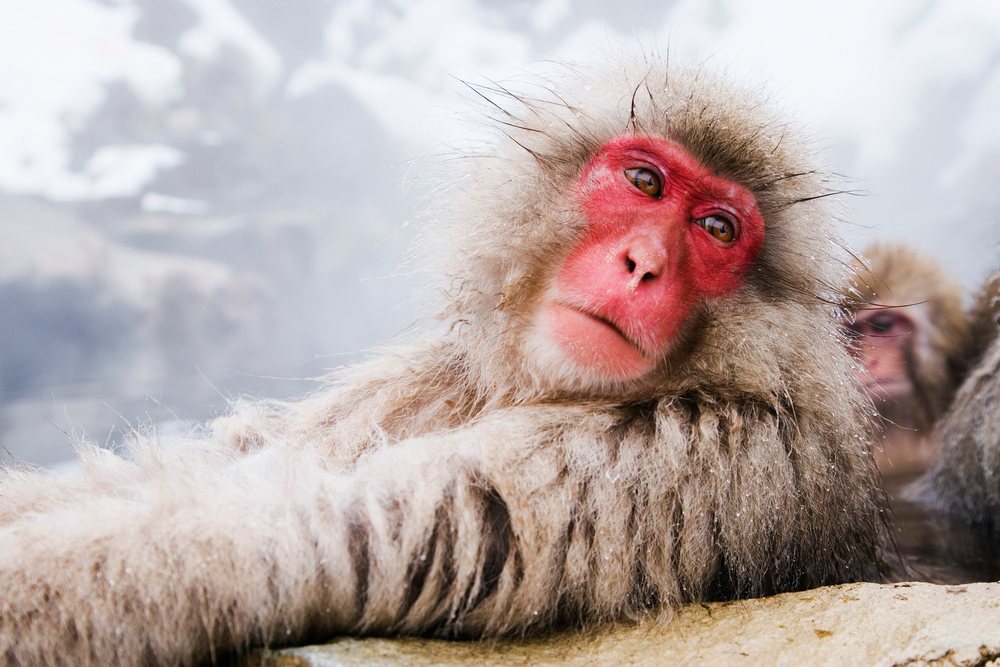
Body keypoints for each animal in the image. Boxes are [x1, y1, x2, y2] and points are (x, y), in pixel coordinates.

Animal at [0, 57, 888, 666]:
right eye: (644, 180)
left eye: (716, 229)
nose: (643, 263)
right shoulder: (427, 375)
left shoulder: (708, 453)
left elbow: (336, 525)